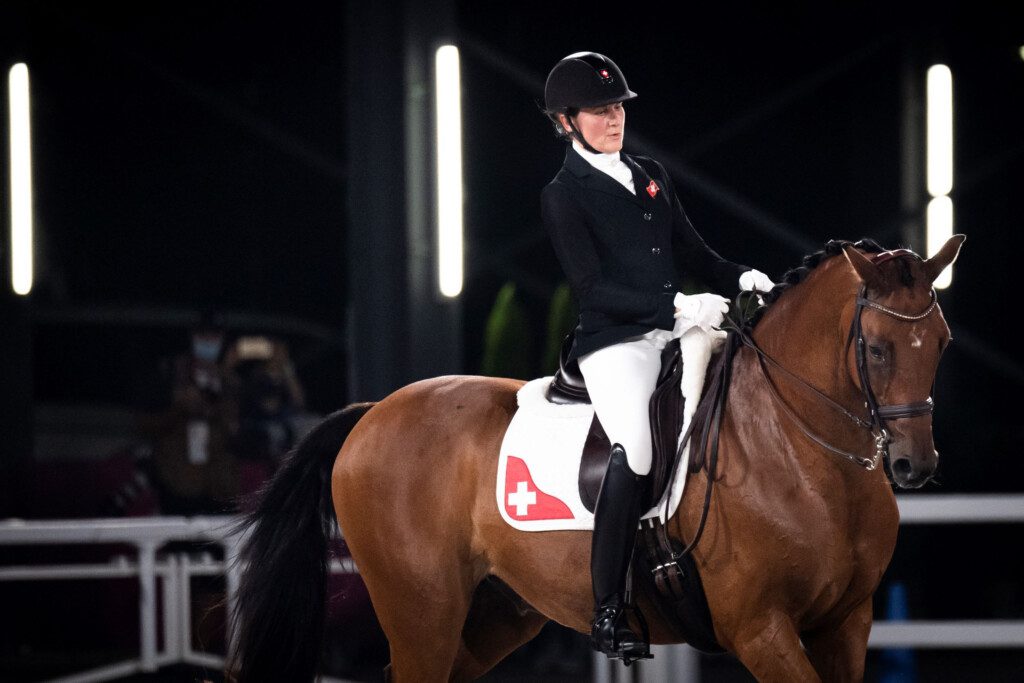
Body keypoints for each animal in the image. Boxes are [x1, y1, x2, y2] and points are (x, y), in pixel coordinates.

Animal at [230, 233, 966, 679]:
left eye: (943, 341)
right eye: (876, 349)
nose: (916, 465)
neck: (799, 451)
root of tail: (372, 413)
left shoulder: (847, 621)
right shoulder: (762, 629)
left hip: (494, 614)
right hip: (422, 612)